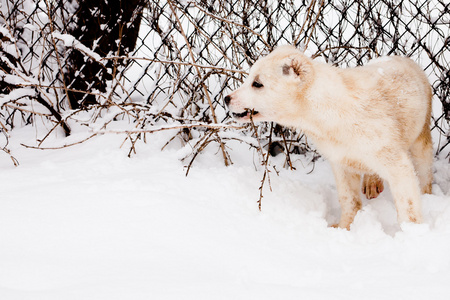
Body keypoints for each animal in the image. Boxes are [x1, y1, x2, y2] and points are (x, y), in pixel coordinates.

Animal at [227, 45, 434, 230]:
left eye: (257, 84)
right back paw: (372, 183)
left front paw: (412, 233)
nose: (226, 99)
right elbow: (349, 200)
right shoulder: (341, 163)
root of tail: (403, 58)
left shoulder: (397, 164)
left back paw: (427, 195)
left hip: (420, 138)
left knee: (424, 172)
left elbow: (408, 207)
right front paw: (344, 228)